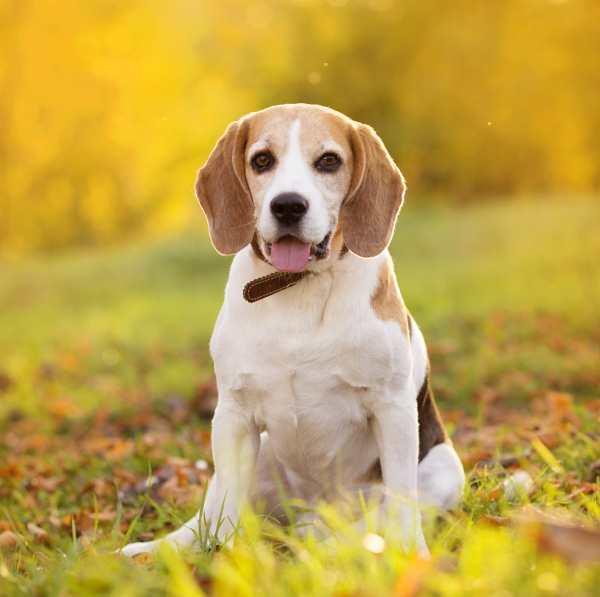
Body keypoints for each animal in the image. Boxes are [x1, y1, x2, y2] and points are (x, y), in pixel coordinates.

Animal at [122, 103, 464, 560]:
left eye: (329, 161)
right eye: (262, 160)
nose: (287, 206)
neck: (296, 287)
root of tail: (315, 511)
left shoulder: (393, 409)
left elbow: (400, 504)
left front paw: (412, 557)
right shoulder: (233, 415)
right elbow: (226, 511)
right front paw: (226, 559)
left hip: (443, 467)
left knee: (368, 523)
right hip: (259, 453)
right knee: (205, 520)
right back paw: (149, 551)